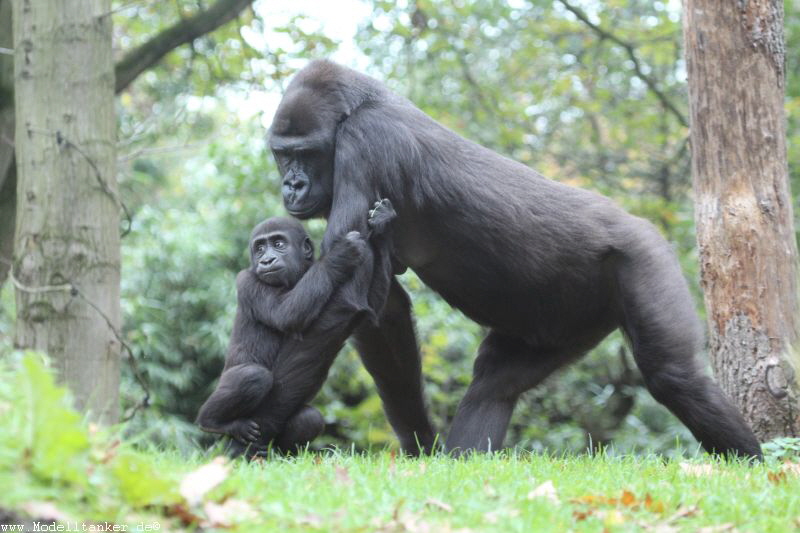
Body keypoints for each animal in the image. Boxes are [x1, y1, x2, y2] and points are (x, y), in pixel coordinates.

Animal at [198, 197, 396, 456]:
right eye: (259, 248)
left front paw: (383, 224)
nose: (266, 260)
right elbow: (287, 314)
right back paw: (213, 422)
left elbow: (371, 305)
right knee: (253, 376)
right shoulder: (248, 281)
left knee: (309, 418)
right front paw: (340, 255)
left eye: (278, 244)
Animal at [268, 59, 764, 458]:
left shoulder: (363, 144)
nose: (291, 185)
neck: (358, 108)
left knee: (674, 375)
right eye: (280, 155)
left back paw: (752, 462)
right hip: (572, 321)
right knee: (495, 384)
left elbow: (349, 295)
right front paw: (420, 445)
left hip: (642, 255)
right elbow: (382, 311)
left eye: (304, 154)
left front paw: (260, 422)